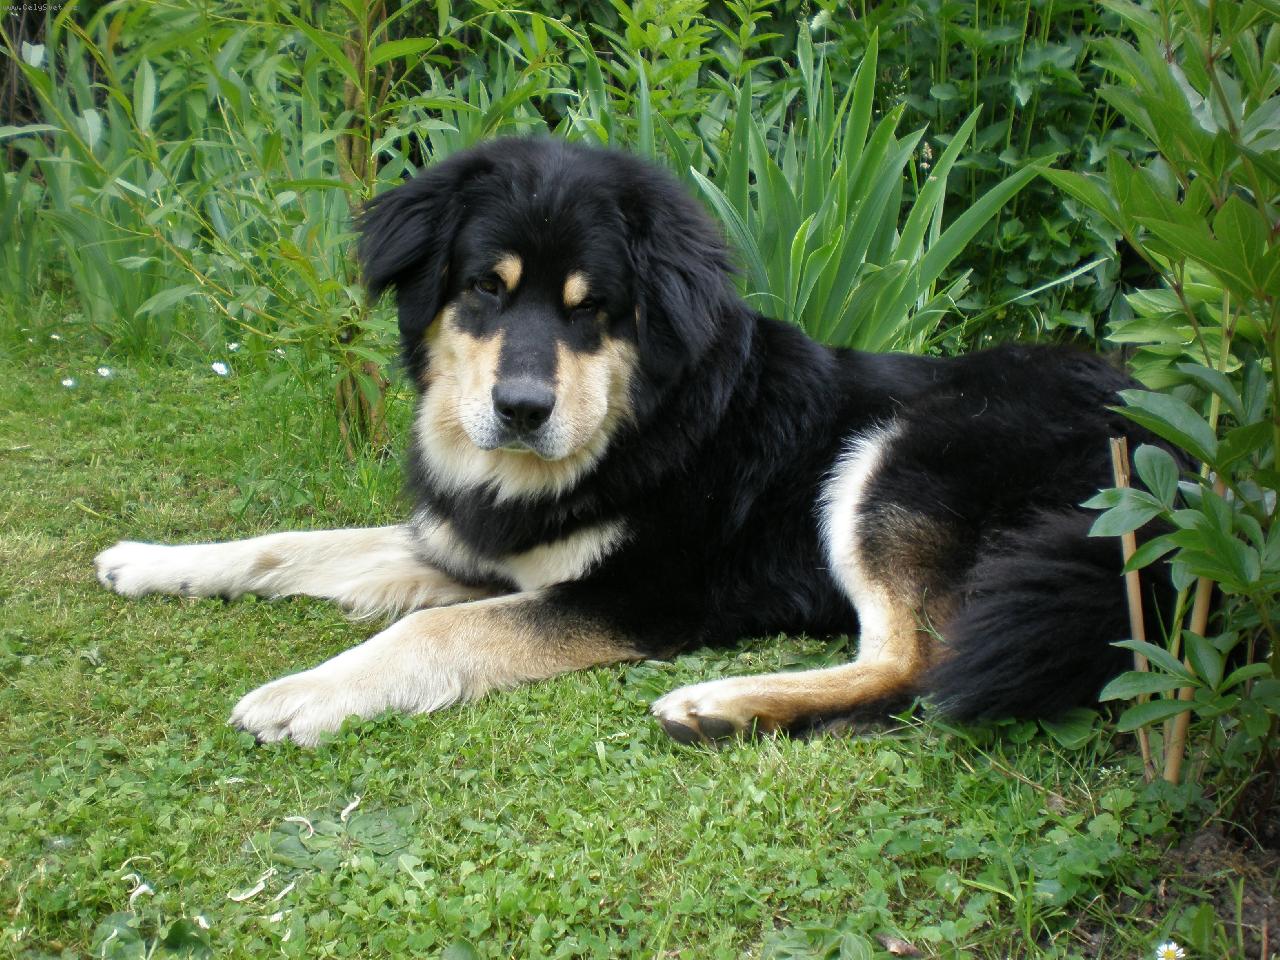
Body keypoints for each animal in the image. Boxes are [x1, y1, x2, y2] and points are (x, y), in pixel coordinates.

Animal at [94, 137, 1158, 746]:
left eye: (592, 308)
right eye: (484, 288)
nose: (522, 408)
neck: (631, 428)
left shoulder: (635, 595)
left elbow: (434, 631)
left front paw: (305, 694)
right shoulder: (469, 544)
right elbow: (286, 544)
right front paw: (151, 561)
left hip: (890, 463)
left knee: (916, 669)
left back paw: (723, 704)